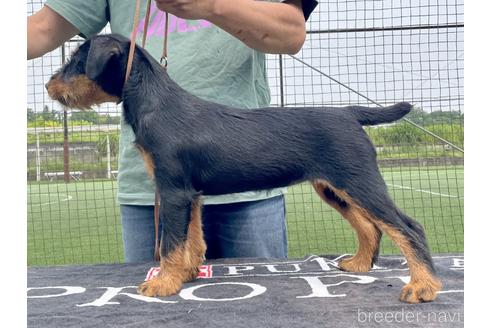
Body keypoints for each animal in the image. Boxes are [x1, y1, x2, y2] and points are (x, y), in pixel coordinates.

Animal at [47, 33, 442, 302]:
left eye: (77, 61)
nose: (49, 85)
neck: (156, 102)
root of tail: (348, 113)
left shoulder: (173, 191)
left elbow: (170, 242)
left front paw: (162, 283)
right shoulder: (190, 195)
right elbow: (193, 238)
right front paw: (187, 273)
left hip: (359, 182)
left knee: (409, 227)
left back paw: (422, 286)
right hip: (334, 187)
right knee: (370, 227)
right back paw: (360, 264)